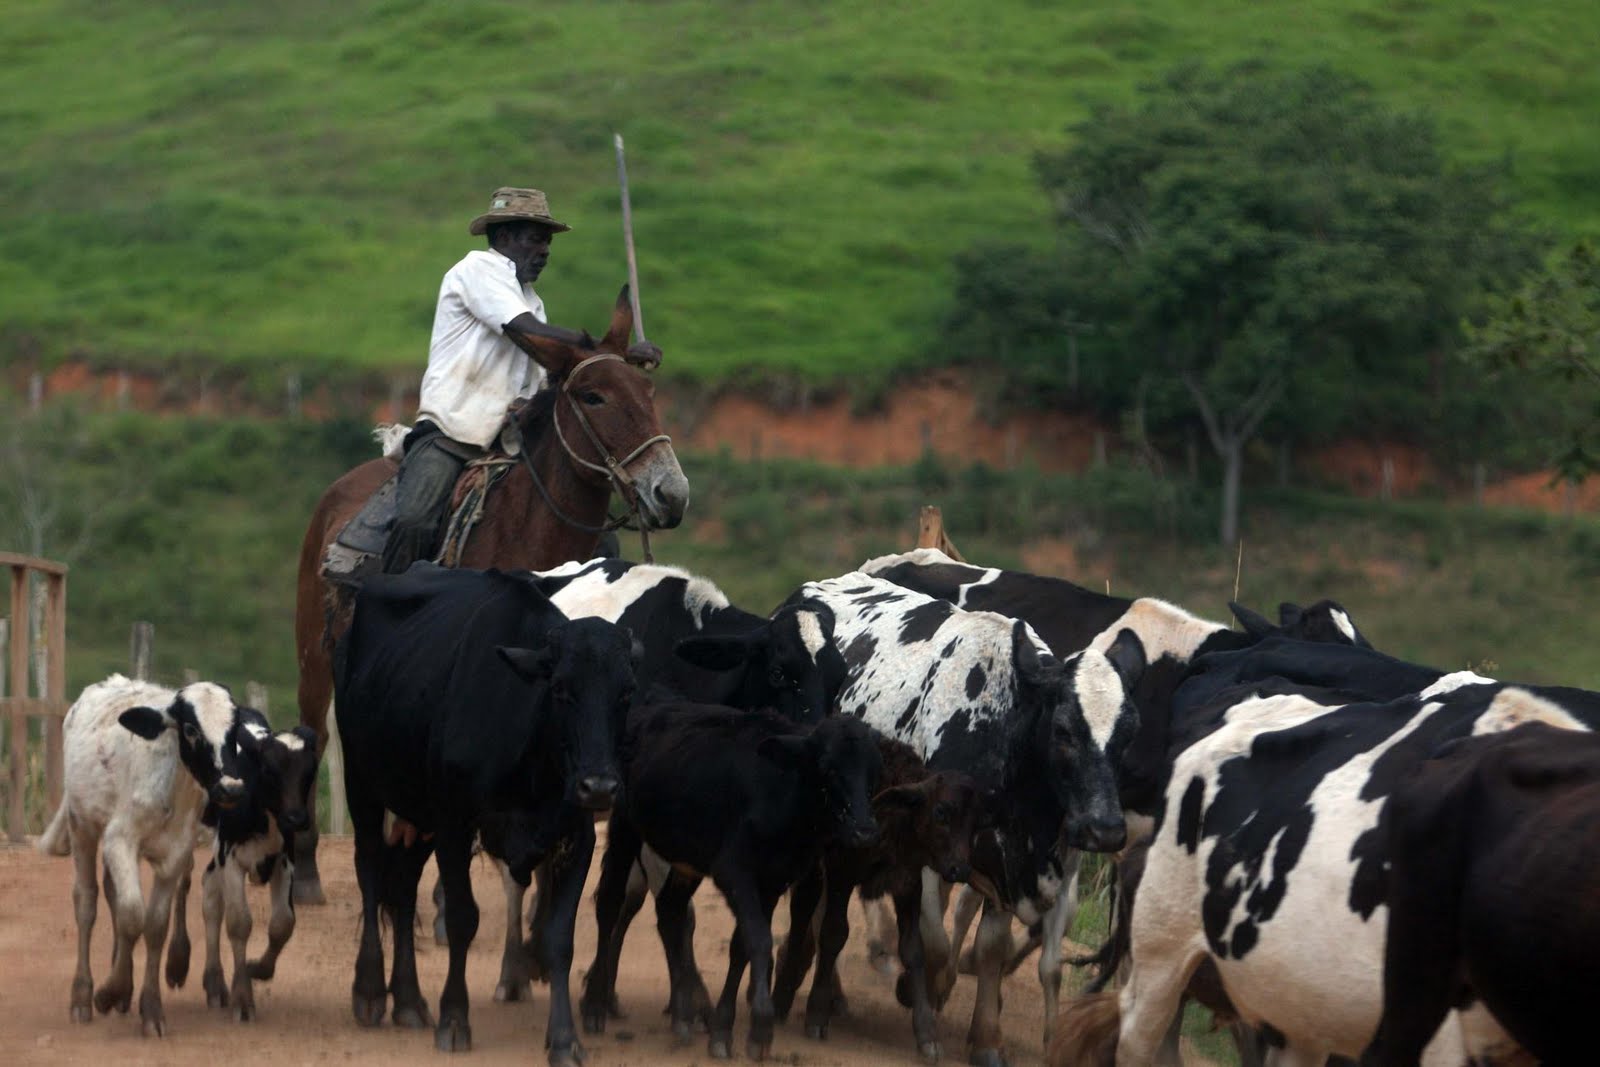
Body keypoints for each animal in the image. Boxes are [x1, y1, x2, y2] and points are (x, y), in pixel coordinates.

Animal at [334, 563, 633, 1062]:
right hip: (364, 784)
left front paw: (564, 1039)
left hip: (420, 814)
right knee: (371, 872)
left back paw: (409, 1000)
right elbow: (461, 919)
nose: (599, 786)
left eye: (626, 695)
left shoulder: (577, 837)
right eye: (560, 689)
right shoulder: (456, 824)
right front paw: (455, 1019)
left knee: (403, 888)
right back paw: (371, 990)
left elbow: (559, 939)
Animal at [585, 703, 889, 1062]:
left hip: (687, 861)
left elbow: (740, 946)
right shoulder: (736, 873)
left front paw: (722, 1027)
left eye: (874, 771)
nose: (865, 831)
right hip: (623, 827)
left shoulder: (771, 882)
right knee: (609, 904)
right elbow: (758, 940)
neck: (783, 794)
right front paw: (760, 1028)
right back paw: (594, 1006)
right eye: (828, 768)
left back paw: (683, 1015)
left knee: (670, 911)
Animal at [793, 575, 1145, 1067]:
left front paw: (986, 1039)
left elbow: (990, 949)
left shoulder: (1003, 866)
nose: (1105, 829)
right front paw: (923, 989)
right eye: (1063, 731)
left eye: (1129, 733)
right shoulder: (924, 856)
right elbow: (934, 941)